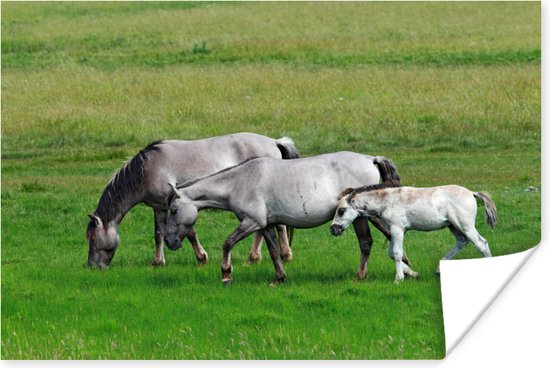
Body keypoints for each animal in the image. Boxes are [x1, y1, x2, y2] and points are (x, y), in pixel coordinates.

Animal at [87, 132, 302, 268]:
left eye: (93, 239)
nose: (92, 266)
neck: (147, 169)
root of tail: (274, 141)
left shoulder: (179, 204)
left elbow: (190, 232)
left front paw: (201, 258)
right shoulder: (159, 207)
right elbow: (158, 233)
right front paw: (157, 261)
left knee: (278, 226)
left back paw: (281, 255)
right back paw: (257, 257)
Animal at [164, 152, 406, 284]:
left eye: (174, 210)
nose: (169, 241)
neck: (239, 182)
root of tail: (371, 159)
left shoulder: (251, 223)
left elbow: (228, 243)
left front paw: (226, 274)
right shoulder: (266, 225)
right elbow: (273, 251)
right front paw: (280, 277)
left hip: (361, 217)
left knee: (369, 242)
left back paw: (364, 275)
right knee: (380, 239)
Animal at [332, 183, 500, 282]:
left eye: (341, 210)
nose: (333, 229)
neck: (387, 201)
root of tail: (472, 193)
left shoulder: (397, 229)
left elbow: (397, 253)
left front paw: (399, 278)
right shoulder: (396, 230)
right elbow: (392, 253)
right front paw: (412, 273)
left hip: (465, 225)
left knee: (481, 243)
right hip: (453, 226)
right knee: (462, 241)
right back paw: (439, 269)